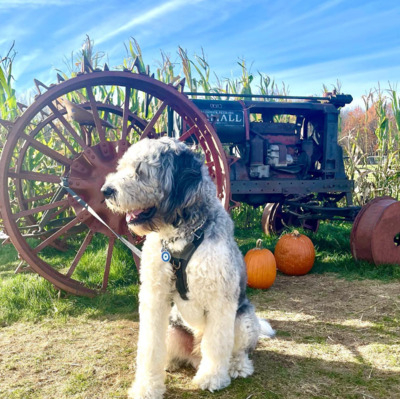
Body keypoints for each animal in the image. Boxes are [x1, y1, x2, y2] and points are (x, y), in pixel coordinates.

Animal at [101, 138, 274, 399]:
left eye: (141, 171)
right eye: (122, 167)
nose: (106, 191)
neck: (180, 238)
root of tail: (195, 356)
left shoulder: (220, 300)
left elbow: (217, 344)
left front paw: (212, 378)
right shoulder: (154, 297)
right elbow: (149, 347)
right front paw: (146, 386)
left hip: (243, 320)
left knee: (235, 350)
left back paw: (236, 366)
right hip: (173, 329)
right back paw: (170, 363)